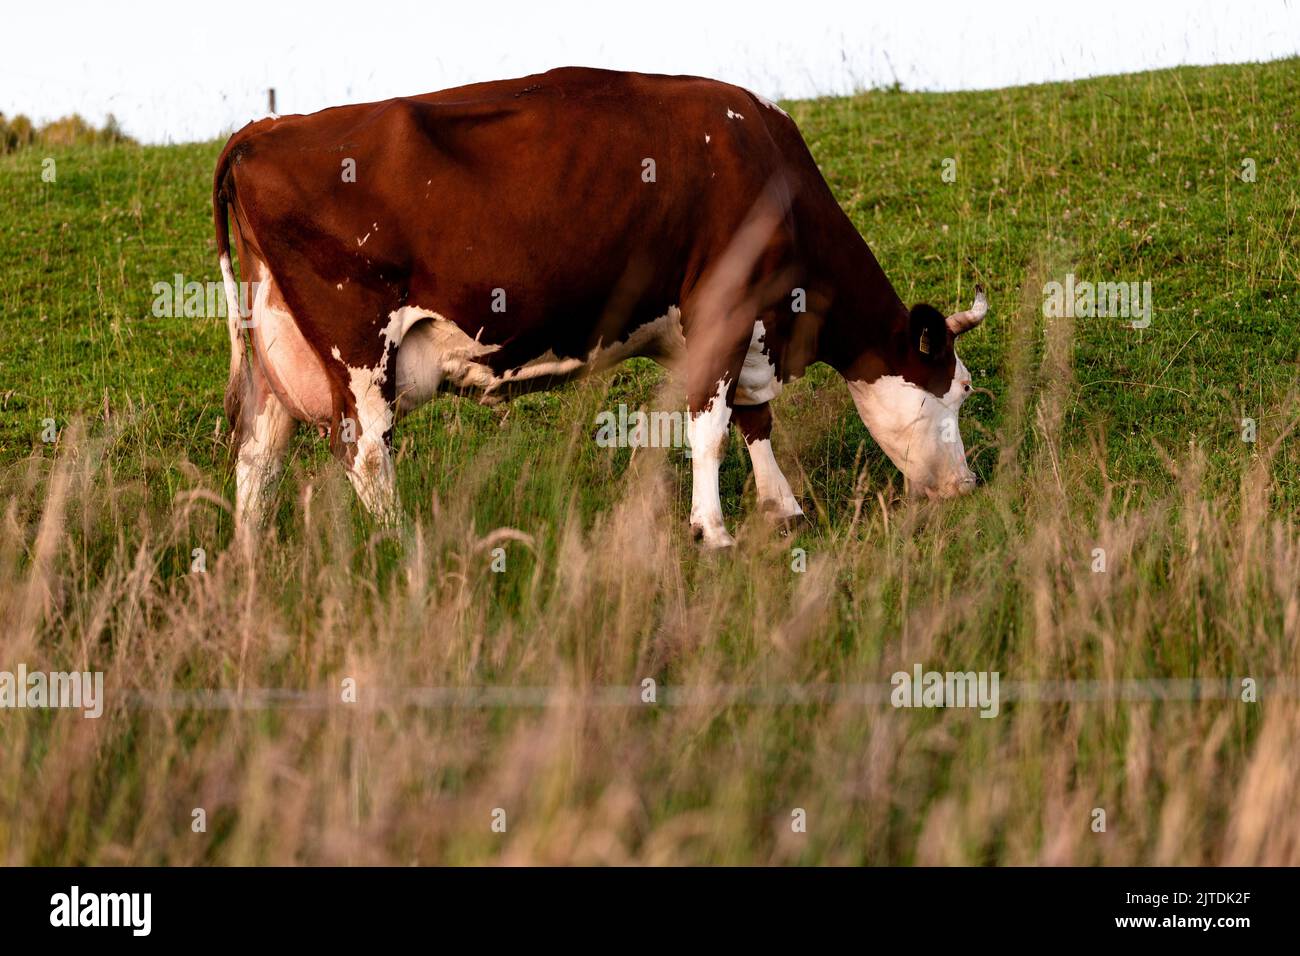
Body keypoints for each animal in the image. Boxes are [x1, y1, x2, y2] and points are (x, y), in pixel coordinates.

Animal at [213, 65, 982, 546]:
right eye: (961, 389)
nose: (970, 485)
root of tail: (264, 129)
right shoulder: (726, 306)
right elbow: (711, 425)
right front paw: (713, 531)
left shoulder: (744, 329)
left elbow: (753, 417)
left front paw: (782, 510)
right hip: (358, 348)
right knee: (367, 454)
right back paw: (407, 549)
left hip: (277, 352)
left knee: (256, 458)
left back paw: (249, 573)